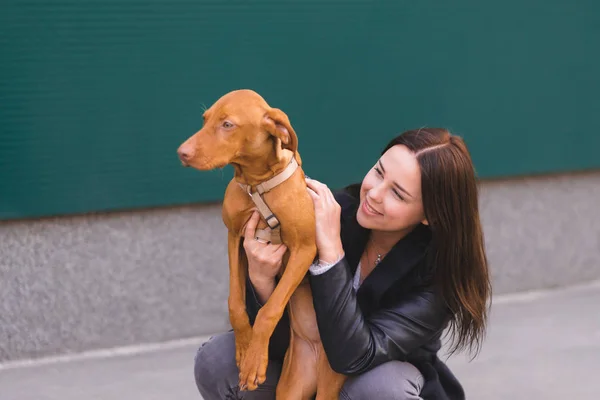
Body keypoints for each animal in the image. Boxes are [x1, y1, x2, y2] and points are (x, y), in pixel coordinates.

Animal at [178, 89, 344, 398]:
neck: (257, 185)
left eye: (227, 124)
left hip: (331, 381)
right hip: (291, 386)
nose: (182, 152)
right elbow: (235, 301)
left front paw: (254, 361)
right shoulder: (234, 237)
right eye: (205, 119)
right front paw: (245, 348)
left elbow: (270, 309)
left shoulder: (305, 249)